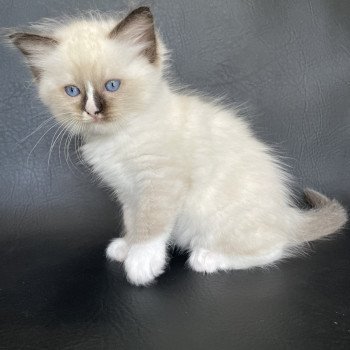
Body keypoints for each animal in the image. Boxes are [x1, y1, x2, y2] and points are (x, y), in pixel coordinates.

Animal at [6, 6, 348, 286]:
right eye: (73, 91)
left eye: (112, 86)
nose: (92, 111)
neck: (118, 138)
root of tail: (288, 216)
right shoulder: (128, 191)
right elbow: (134, 221)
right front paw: (126, 247)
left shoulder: (159, 183)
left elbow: (151, 226)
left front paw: (141, 263)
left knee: (272, 249)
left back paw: (207, 258)